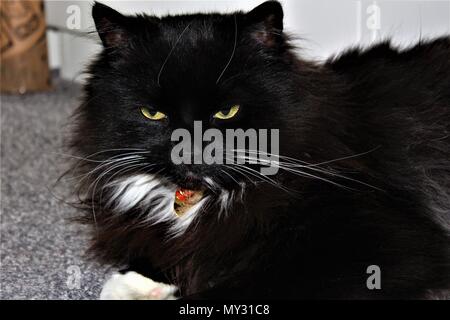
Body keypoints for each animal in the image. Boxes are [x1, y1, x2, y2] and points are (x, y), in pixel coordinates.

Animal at [68, 1, 448, 298]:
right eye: (153, 113)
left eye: (226, 112)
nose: (188, 152)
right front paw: (134, 285)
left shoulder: (382, 248)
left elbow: (239, 287)